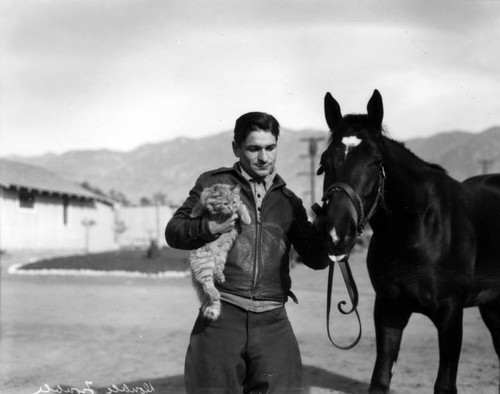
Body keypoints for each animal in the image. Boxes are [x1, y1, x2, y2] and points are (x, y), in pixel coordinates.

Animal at [188, 182, 252, 320]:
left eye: (233, 202)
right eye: (225, 203)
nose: (231, 210)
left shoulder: (240, 205)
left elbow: (243, 207)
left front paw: (247, 219)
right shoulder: (202, 202)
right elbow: (198, 208)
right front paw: (194, 215)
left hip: (221, 256)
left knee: (216, 270)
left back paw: (220, 277)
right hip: (204, 261)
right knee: (206, 283)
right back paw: (215, 293)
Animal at [316, 91, 500, 392]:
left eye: (375, 161)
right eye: (323, 162)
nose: (336, 233)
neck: (416, 232)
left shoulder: (451, 315)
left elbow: (444, 385)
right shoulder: (389, 311)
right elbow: (379, 380)